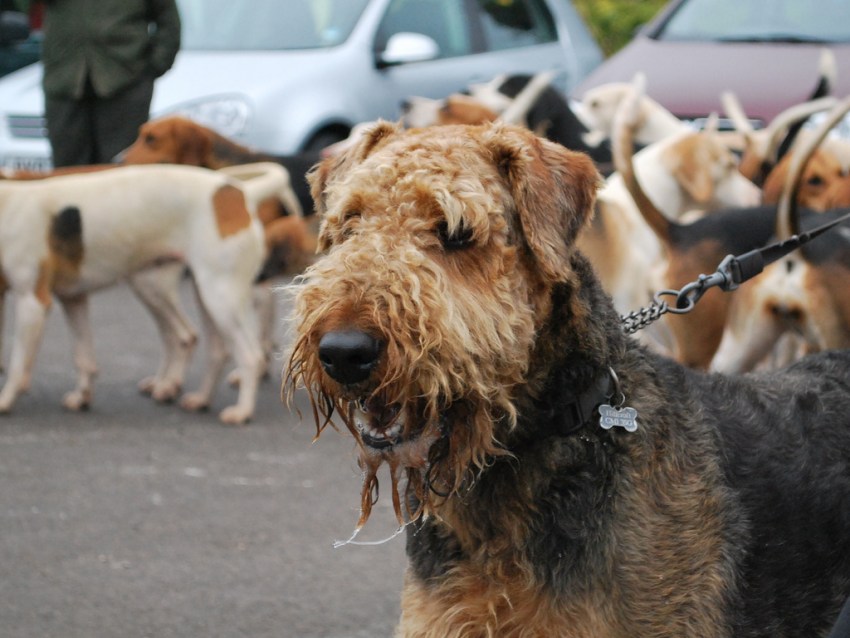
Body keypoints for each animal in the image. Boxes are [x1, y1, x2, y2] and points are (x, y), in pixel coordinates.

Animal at [0, 165, 274, 424]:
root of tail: (240, 192)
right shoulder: (73, 298)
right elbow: (83, 357)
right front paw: (82, 397)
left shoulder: (31, 302)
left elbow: (17, 365)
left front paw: (5, 401)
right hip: (197, 293)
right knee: (217, 351)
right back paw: (201, 398)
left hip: (219, 296)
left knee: (250, 356)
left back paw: (242, 412)